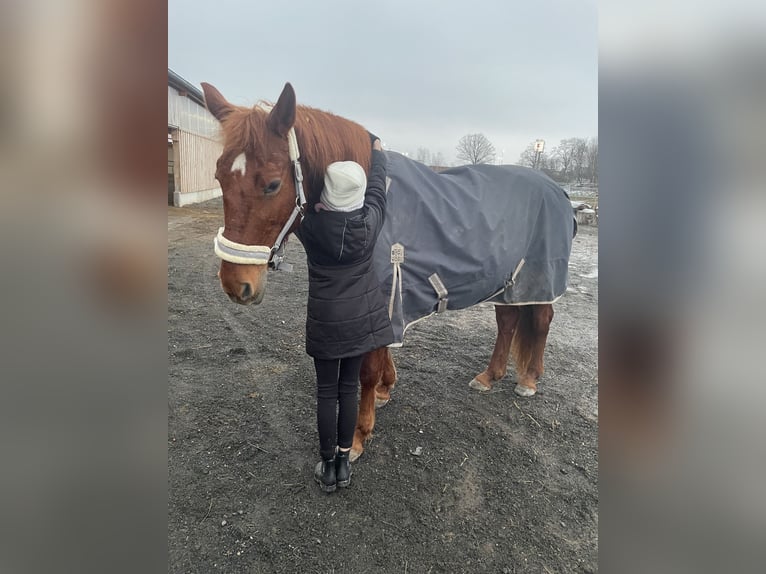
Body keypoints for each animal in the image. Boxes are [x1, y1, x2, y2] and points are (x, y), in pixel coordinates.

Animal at [201, 81, 572, 464]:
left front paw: (358, 436)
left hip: (537, 279)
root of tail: (556, 189)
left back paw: (528, 380)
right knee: (508, 322)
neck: (366, 202)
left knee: (540, 320)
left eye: (273, 184)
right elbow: (383, 359)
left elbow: (366, 371)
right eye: (219, 177)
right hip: (507, 282)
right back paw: (489, 376)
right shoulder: (386, 303)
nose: (235, 285)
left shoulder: (384, 299)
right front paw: (385, 389)